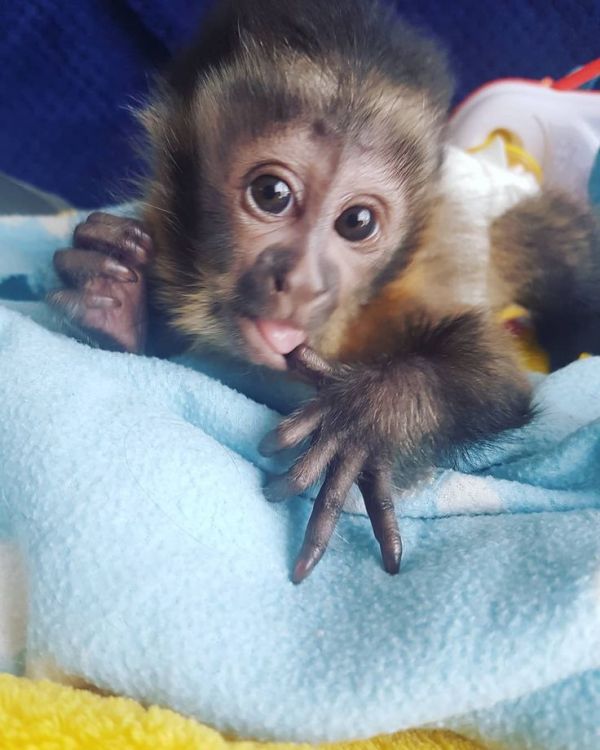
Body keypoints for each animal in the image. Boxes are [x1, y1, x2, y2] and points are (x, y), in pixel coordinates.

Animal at [49, 0, 600, 583]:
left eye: (357, 222)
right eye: (271, 194)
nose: (303, 282)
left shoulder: (412, 283)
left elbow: (496, 375)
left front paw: (372, 415)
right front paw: (116, 298)